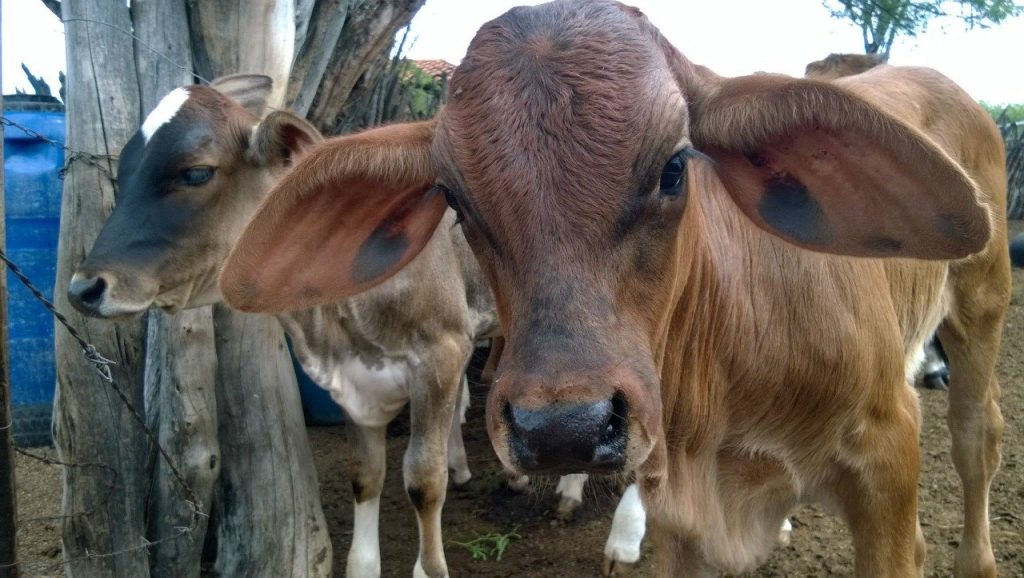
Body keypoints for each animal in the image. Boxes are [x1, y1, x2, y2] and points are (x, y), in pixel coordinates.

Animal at [220, 2, 1011, 573]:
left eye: (674, 166)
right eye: (455, 198)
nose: (563, 429)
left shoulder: (888, 458)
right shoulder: (683, 521)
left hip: (982, 306)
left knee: (980, 435)